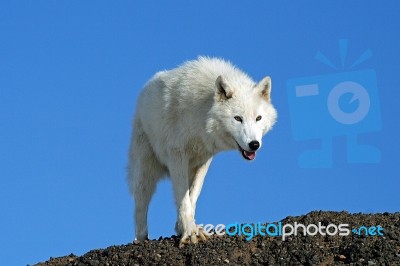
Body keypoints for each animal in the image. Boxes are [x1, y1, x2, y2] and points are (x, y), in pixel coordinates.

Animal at [128, 57, 278, 246]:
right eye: (237, 118)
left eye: (258, 118)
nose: (254, 144)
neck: (202, 114)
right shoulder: (177, 155)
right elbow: (183, 199)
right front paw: (190, 232)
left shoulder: (204, 160)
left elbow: (192, 196)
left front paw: (184, 227)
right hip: (145, 171)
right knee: (140, 204)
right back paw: (141, 239)